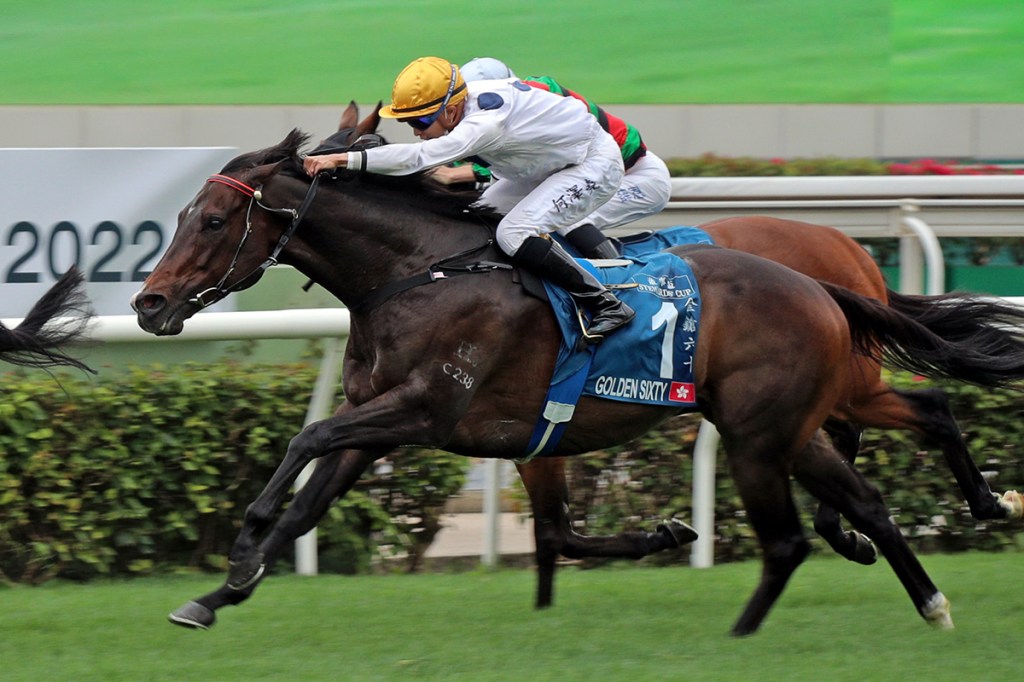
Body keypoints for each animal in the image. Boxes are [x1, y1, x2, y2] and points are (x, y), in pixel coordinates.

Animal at [131, 129, 1024, 635]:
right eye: (179, 218)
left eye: (214, 220)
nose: (149, 303)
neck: (420, 270)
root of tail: (831, 272)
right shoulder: (397, 418)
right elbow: (312, 500)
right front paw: (218, 595)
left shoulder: (421, 410)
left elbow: (306, 438)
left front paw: (242, 546)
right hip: (785, 422)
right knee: (869, 492)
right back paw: (928, 591)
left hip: (785, 415)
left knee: (895, 438)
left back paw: (967, 515)